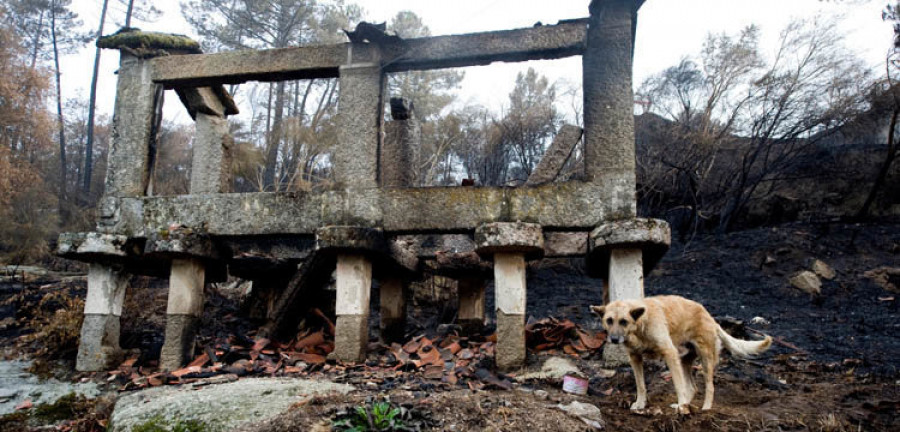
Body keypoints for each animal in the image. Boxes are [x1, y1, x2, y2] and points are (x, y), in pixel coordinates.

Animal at [592, 296, 772, 414]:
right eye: (609, 320)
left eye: (623, 321)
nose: (614, 339)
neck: (640, 324)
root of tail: (710, 317)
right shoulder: (635, 358)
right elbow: (641, 385)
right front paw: (640, 404)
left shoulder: (669, 353)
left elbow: (679, 386)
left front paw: (681, 405)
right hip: (684, 360)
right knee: (692, 387)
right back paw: (686, 405)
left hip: (705, 360)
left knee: (709, 387)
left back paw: (704, 409)